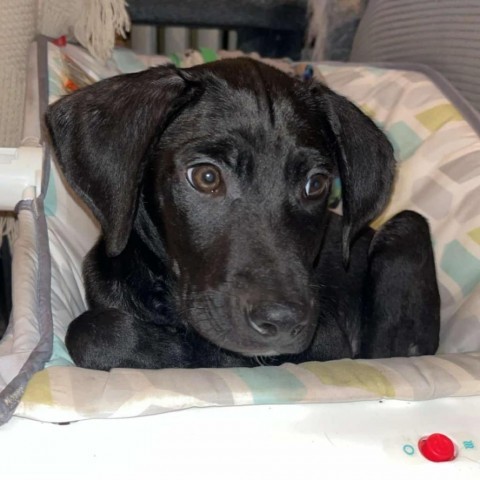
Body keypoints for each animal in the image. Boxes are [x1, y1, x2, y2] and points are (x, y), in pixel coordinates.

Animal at [45, 57, 438, 372]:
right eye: (206, 177)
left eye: (316, 183)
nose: (282, 322)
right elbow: (89, 331)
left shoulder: (324, 340)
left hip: (407, 227)